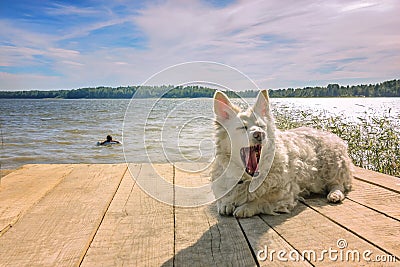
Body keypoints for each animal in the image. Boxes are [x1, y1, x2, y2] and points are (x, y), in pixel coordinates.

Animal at [211, 90, 352, 218]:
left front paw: (246, 207)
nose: (259, 134)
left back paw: (335, 194)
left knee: (338, 184)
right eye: (242, 128)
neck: (247, 179)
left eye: (262, 126)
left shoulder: (284, 193)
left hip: (332, 165)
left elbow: (262, 199)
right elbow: (222, 199)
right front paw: (225, 203)